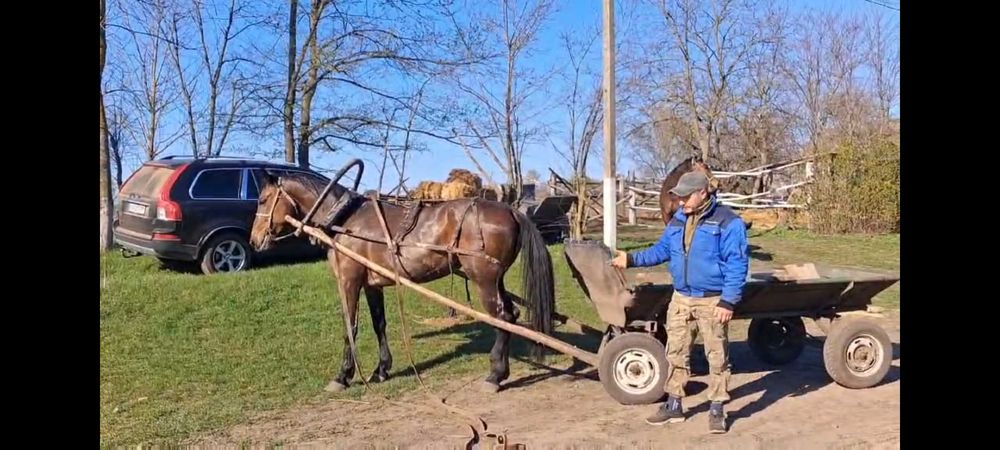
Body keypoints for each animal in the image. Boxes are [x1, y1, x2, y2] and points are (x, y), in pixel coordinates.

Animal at [249, 169, 556, 393]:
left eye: (262, 200)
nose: (254, 240)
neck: (344, 221)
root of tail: (512, 211)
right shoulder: (371, 284)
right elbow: (379, 324)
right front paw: (382, 369)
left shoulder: (349, 280)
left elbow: (350, 326)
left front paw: (343, 376)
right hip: (495, 279)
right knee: (512, 314)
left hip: (484, 279)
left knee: (502, 317)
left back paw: (495, 375)